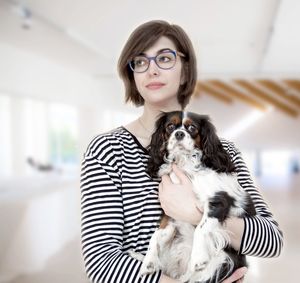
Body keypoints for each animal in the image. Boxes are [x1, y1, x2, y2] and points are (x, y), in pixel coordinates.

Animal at [129, 111, 255, 283]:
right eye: (170, 126)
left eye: (192, 128)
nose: (179, 133)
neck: (185, 162)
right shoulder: (170, 212)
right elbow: (156, 234)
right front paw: (149, 261)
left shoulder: (219, 201)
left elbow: (200, 229)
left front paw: (198, 259)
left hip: (222, 260)